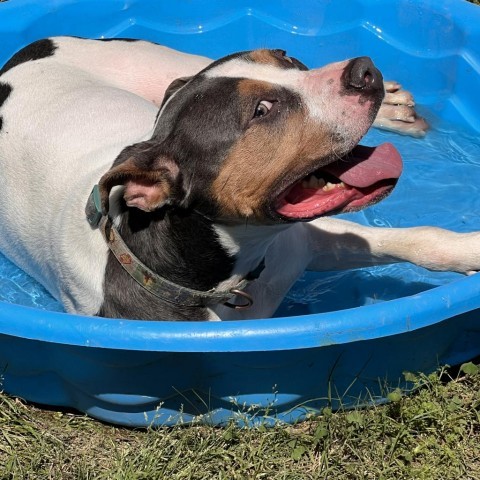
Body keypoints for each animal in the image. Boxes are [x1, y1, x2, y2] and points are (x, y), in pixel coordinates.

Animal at [0, 37, 476, 320]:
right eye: (261, 110)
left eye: (286, 57)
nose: (364, 70)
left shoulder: (308, 238)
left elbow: (419, 239)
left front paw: (469, 251)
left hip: (169, 65)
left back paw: (394, 108)